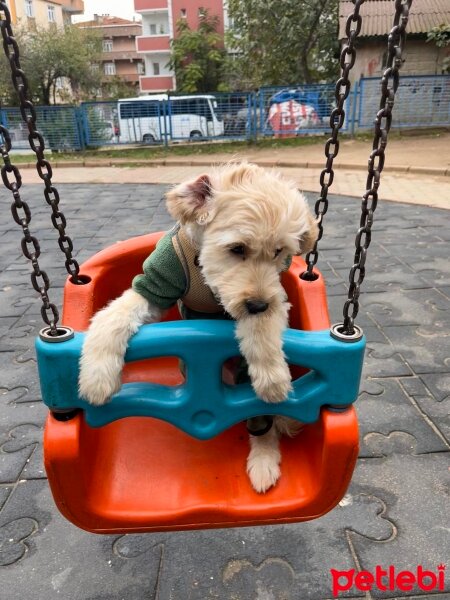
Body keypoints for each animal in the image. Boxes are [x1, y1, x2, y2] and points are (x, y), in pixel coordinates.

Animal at [80, 163, 320, 492]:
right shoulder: (157, 284)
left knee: (262, 421)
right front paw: (96, 377)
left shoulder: (275, 297)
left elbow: (262, 328)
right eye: (237, 248)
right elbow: (114, 315)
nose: (258, 304)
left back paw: (264, 460)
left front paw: (272, 377)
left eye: (279, 252)